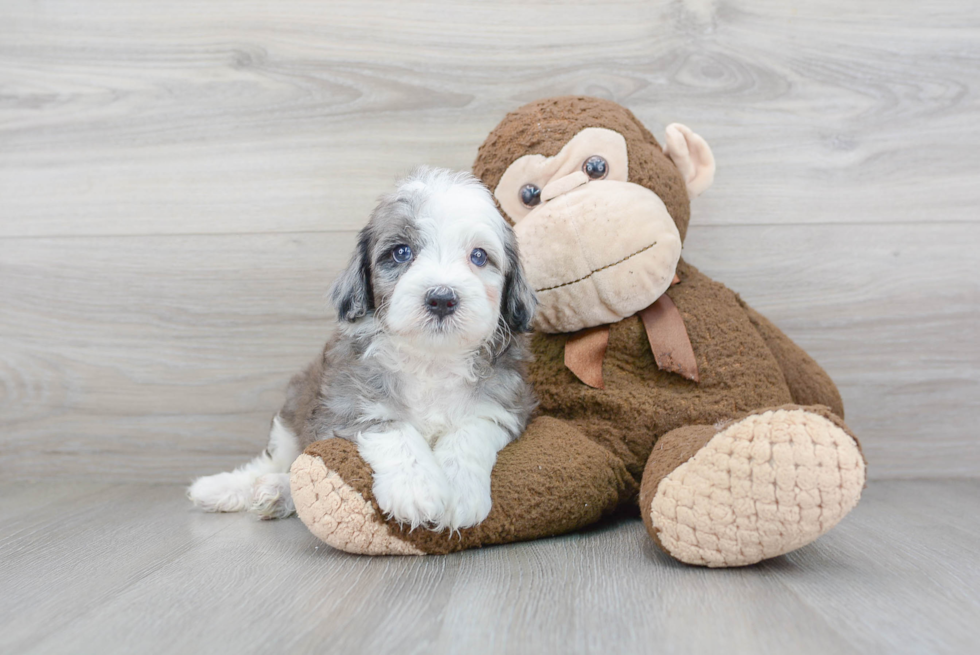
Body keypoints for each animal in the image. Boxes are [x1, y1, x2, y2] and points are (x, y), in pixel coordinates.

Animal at [188, 169, 540, 532]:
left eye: (479, 256)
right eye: (401, 252)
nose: (442, 298)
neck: (430, 358)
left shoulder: (503, 405)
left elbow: (469, 432)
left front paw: (459, 490)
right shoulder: (346, 402)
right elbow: (391, 428)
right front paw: (417, 487)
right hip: (293, 412)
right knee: (278, 461)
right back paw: (232, 488)